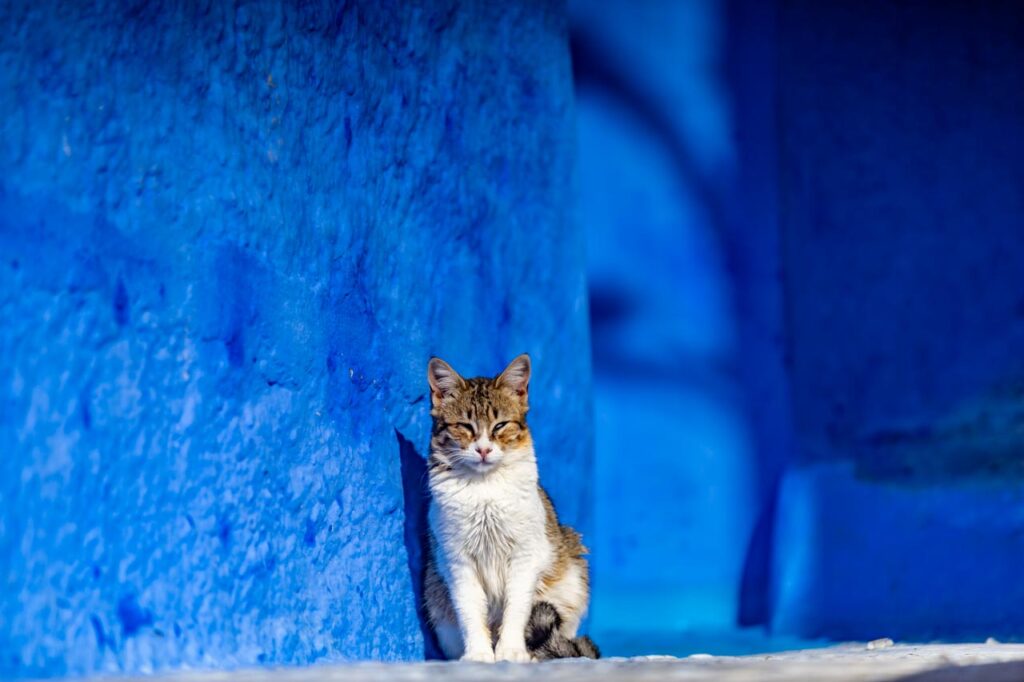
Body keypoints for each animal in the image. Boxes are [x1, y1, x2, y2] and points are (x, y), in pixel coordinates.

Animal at [421, 352, 598, 659]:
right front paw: (479, 654)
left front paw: (512, 651)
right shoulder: (457, 560)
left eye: (500, 426)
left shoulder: (524, 555)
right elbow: (470, 611)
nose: (483, 450)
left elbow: (517, 609)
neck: (485, 488)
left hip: (573, 575)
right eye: (465, 426)